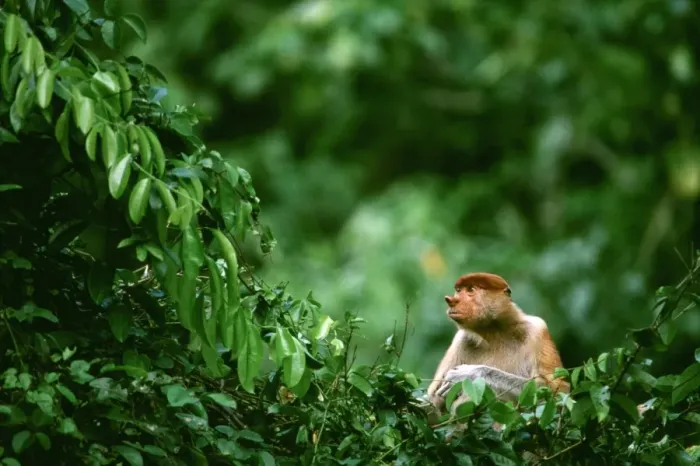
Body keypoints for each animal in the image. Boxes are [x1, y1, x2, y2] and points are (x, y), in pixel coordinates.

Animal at [427, 272, 569, 415]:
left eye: (471, 289)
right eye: (458, 290)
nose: (451, 300)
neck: (494, 331)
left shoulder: (538, 329)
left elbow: (555, 390)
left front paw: (468, 374)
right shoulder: (460, 339)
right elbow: (433, 401)